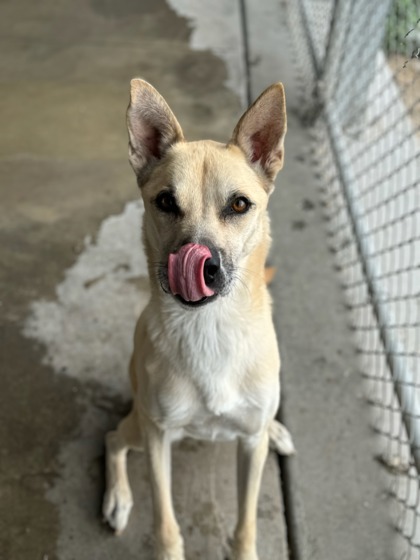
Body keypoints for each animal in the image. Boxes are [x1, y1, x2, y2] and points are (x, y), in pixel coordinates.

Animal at [103, 80, 294, 560]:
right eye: (165, 202)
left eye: (240, 204)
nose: (201, 266)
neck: (212, 330)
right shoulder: (157, 439)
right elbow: (166, 522)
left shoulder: (250, 446)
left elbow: (246, 523)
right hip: (139, 426)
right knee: (112, 439)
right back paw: (117, 498)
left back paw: (278, 430)